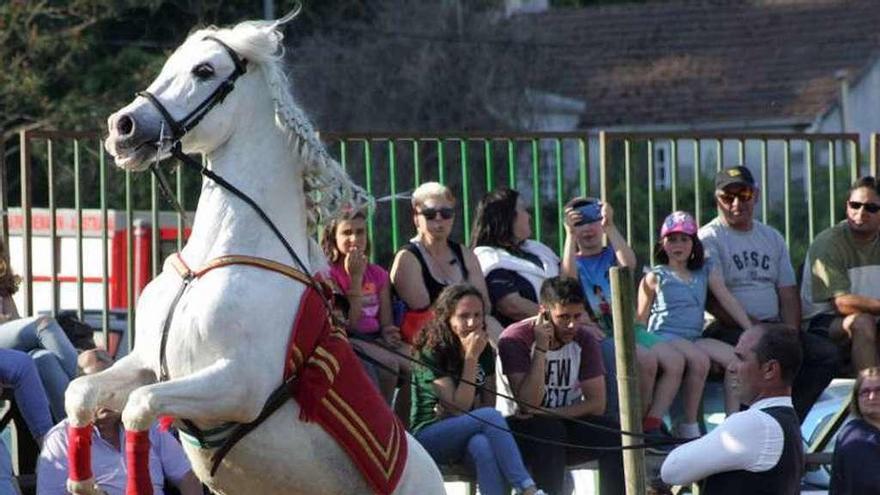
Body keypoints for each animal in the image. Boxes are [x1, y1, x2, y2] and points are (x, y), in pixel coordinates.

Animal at [65, 11, 444, 495]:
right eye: (170, 63)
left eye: (204, 70)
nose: (123, 127)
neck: (215, 261)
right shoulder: (147, 362)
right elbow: (81, 393)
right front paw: (83, 484)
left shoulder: (238, 386)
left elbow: (138, 407)